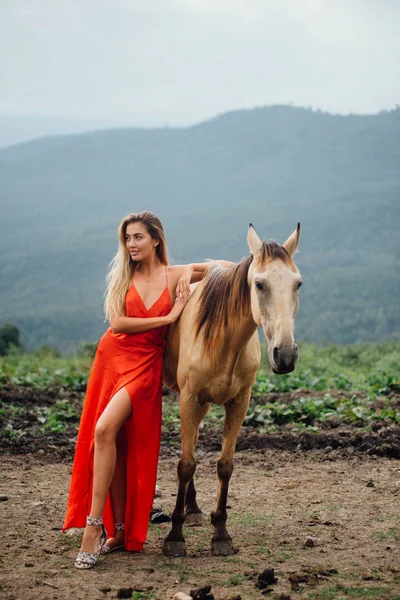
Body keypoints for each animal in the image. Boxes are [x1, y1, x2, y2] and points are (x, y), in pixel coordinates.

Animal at [161, 223, 302, 556]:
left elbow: (224, 465)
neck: (224, 341)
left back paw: (194, 509)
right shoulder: (189, 398)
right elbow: (185, 464)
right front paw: (175, 535)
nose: (285, 355)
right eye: (259, 284)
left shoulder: (239, 402)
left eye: (298, 284)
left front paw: (221, 533)